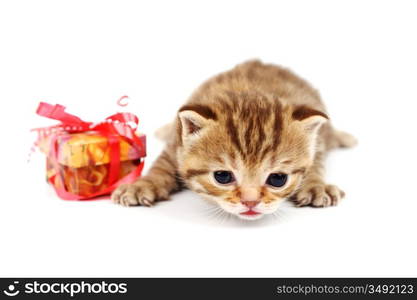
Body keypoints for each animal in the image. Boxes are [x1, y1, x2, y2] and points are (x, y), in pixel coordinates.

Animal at [110, 60, 354, 220]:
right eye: (222, 176)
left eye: (278, 179)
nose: (250, 202)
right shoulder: (176, 144)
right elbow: (161, 166)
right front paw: (142, 185)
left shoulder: (316, 145)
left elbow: (315, 165)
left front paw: (316, 186)